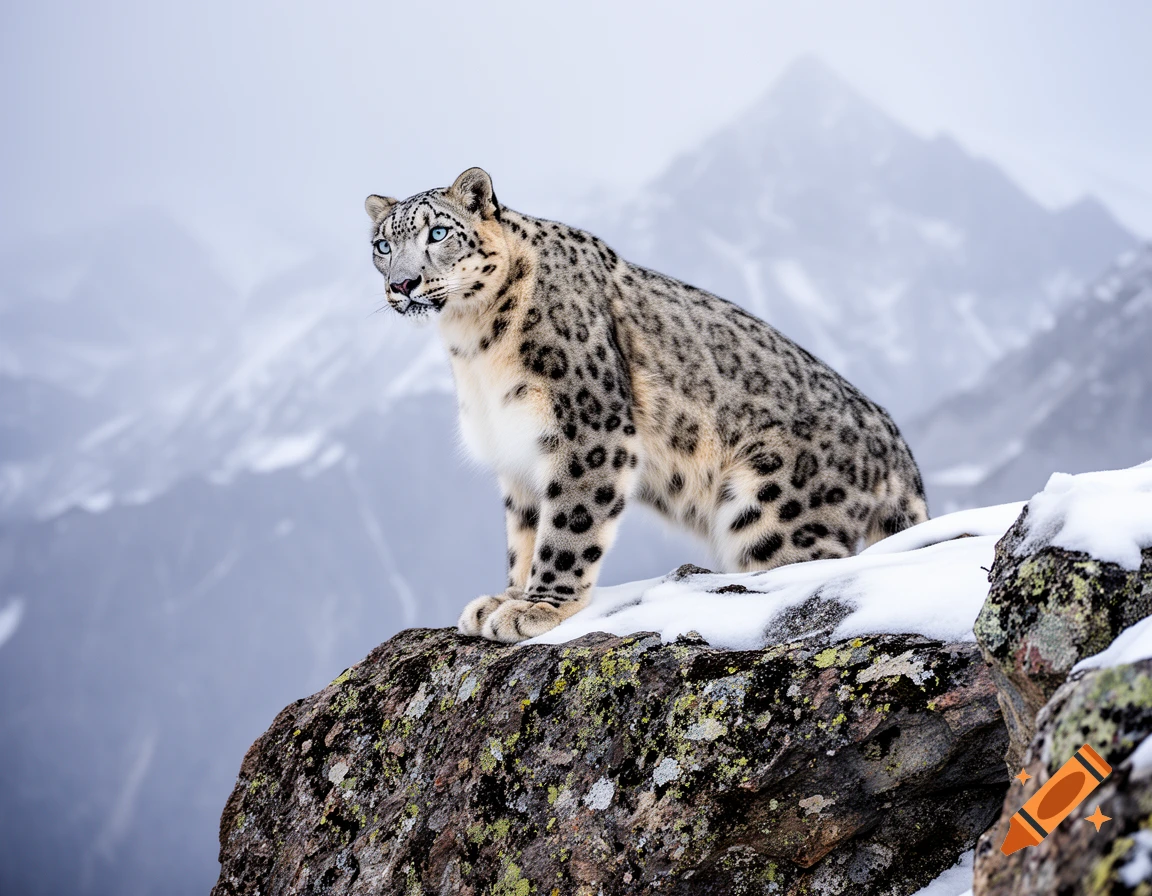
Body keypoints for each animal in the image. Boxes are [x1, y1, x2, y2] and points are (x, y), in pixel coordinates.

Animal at [365, 167, 928, 643]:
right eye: (382, 245)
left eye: (438, 233)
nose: (401, 284)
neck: (473, 343)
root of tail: (895, 442)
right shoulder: (517, 452)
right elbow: (523, 532)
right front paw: (505, 596)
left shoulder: (587, 430)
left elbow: (567, 526)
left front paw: (539, 606)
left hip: (773, 514)